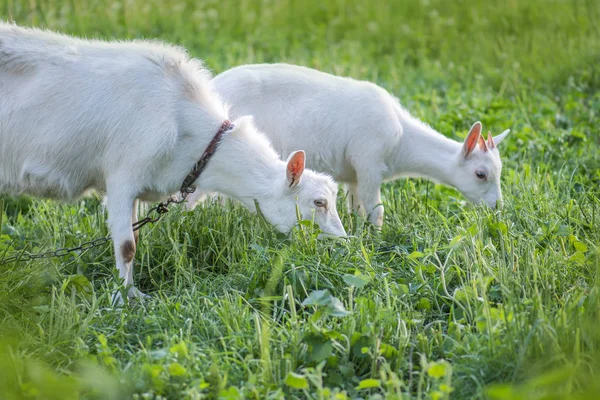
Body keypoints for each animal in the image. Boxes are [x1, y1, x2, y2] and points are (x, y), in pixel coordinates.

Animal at [0, 25, 344, 298]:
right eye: (319, 202)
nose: (343, 242)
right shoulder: (122, 177)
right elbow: (126, 246)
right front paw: (123, 300)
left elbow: (134, 238)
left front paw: (132, 292)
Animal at [188, 62, 510, 225]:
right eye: (481, 174)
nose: (498, 207)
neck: (402, 141)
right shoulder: (369, 161)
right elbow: (376, 210)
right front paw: (378, 239)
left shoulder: (354, 175)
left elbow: (357, 208)